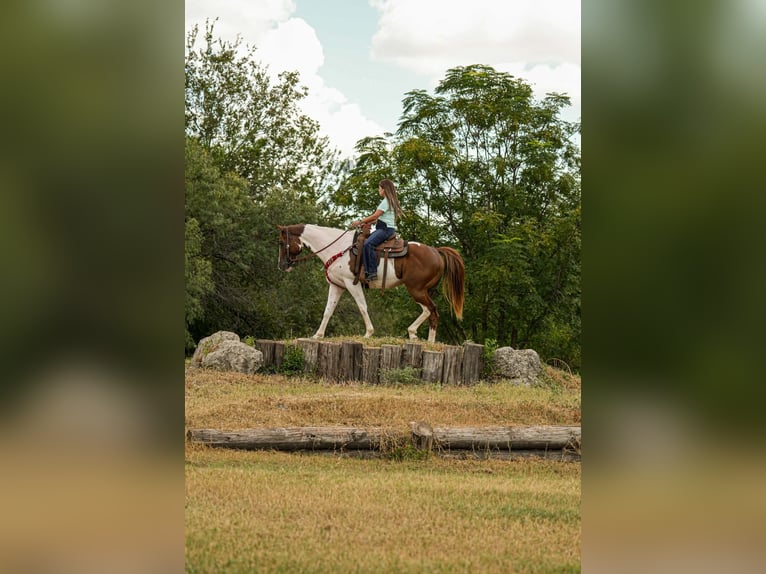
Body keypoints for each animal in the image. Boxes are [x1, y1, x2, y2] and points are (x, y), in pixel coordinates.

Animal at [277, 224, 465, 343]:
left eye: (281, 242)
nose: (282, 266)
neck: (337, 248)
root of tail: (436, 251)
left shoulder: (351, 283)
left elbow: (362, 307)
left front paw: (368, 333)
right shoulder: (337, 285)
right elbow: (328, 311)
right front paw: (318, 335)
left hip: (416, 289)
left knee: (431, 310)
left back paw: (425, 340)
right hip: (422, 290)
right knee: (429, 310)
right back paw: (418, 336)